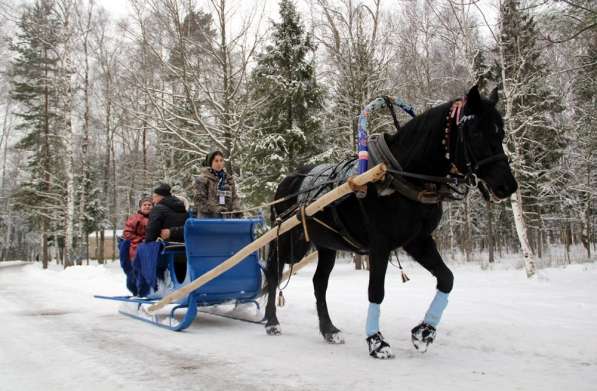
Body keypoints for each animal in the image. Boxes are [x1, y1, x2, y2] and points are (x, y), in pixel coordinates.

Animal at [262, 86, 516, 358]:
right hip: (289, 242)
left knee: (319, 283)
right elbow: (376, 290)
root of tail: (286, 182)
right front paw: (376, 341)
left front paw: (424, 332)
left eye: (500, 132)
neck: (398, 175)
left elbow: (447, 278)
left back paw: (329, 330)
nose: (508, 185)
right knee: (274, 273)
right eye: (476, 132)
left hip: (326, 245)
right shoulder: (380, 244)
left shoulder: (418, 240)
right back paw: (272, 322)